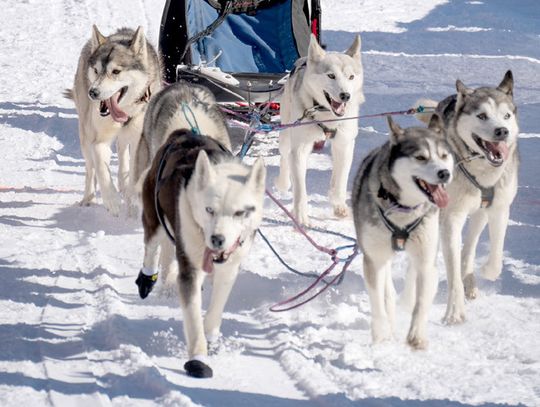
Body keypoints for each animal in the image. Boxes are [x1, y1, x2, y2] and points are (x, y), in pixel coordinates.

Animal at [67, 25, 160, 217]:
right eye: (96, 70)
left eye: (116, 71)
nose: (93, 92)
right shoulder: (99, 140)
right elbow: (101, 168)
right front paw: (111, 200)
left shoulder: (139, 139)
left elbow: (134, 170)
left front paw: (132, 202)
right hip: (85, 133)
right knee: (90, 168)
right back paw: (89, 198)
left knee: (123, 149)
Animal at [276, 34, 364, 226]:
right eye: (331, 75)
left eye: (351, 77)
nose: (345, 95)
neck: (326, 116)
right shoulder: (299, 149)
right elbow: (300, 189)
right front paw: (301, 216)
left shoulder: (344, 145)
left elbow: (340, 180)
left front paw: (339, 205)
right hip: (286, 136)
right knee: (285, 158)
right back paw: (283, 182)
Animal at [352, 115, 454, 350]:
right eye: (421, 157)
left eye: (443, 155)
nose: (445, 173)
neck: (404, 208)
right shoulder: (373, 259)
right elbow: (377, 300)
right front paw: (381, 335)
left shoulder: (426, 261)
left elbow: (422, 301)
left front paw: (416, 335)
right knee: (387, 291)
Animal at [418, 71, 520, 326]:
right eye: (482, 116)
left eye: (506, 115)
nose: (502, 131)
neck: (482, 171)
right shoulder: (451, 218)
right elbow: (452, 271)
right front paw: (455, 311)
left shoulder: (499, 209)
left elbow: (496, 255)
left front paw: (486, 271)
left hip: (480, 214)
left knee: (469, 248)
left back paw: (471, 279)